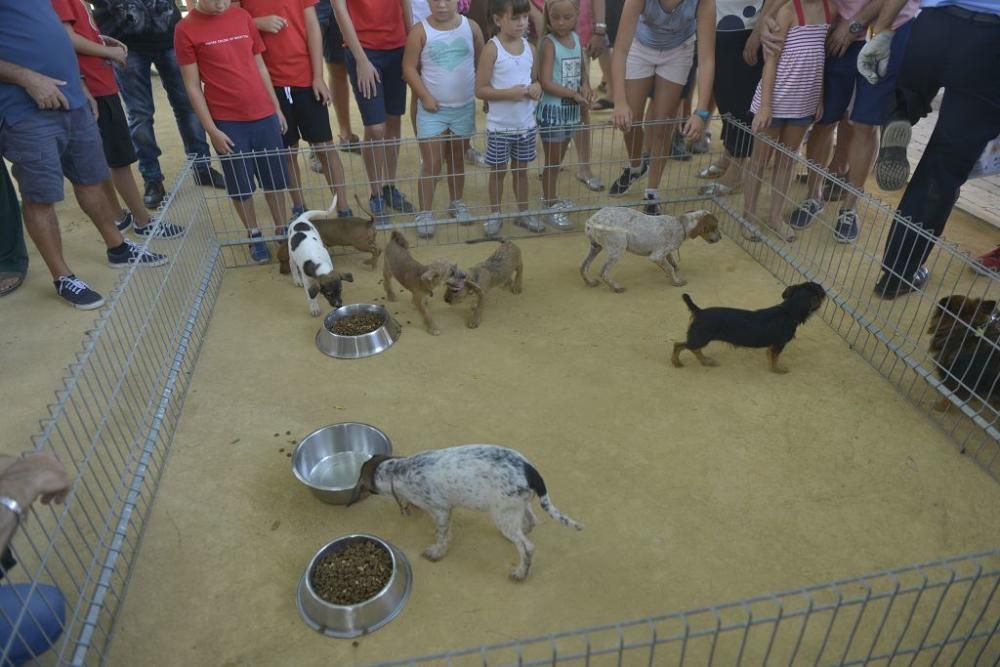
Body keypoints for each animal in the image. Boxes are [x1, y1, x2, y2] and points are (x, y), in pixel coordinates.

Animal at [584, 209, 724, 292]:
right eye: (715, 226)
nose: (721, 237)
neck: (680, 224)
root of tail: (591, 220)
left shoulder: (665, 253)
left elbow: (671, 263)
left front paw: (672, 274)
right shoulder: (656, 256)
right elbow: (670, 268)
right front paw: (676, 281)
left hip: (596, 247)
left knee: (583, 267)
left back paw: (590, 282)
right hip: (618, 248)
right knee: (603, 272)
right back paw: (616, 287)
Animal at [672, 282, 828, 374]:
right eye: (820, 292)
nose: (825, 290)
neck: (789, 311)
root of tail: (699, 311)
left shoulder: (773, 345)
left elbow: (769, 355)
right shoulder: (779, 345)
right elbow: (775, 358)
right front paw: (777, 370)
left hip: (700, 338)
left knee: (694, 349)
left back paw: (705, 361)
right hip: (700, 338)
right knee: (679, 345)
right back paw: (677, 363)